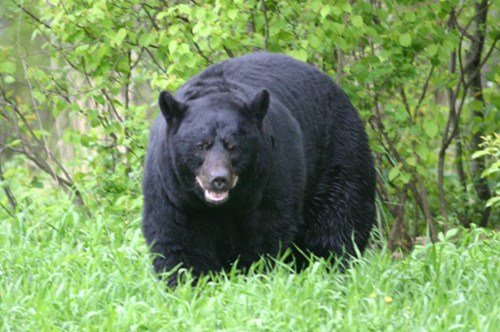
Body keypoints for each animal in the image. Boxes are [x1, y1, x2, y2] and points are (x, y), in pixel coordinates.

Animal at [143, 52, 374, 286]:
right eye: (201, 146)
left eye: (233, 146)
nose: (218, 179)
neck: (221, 206)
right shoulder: (172, 190)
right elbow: (177, 237)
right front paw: (189, 281)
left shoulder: (270, 177)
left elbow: (264, 234)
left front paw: (251, 276)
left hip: (339, 154)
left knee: (339, 219)